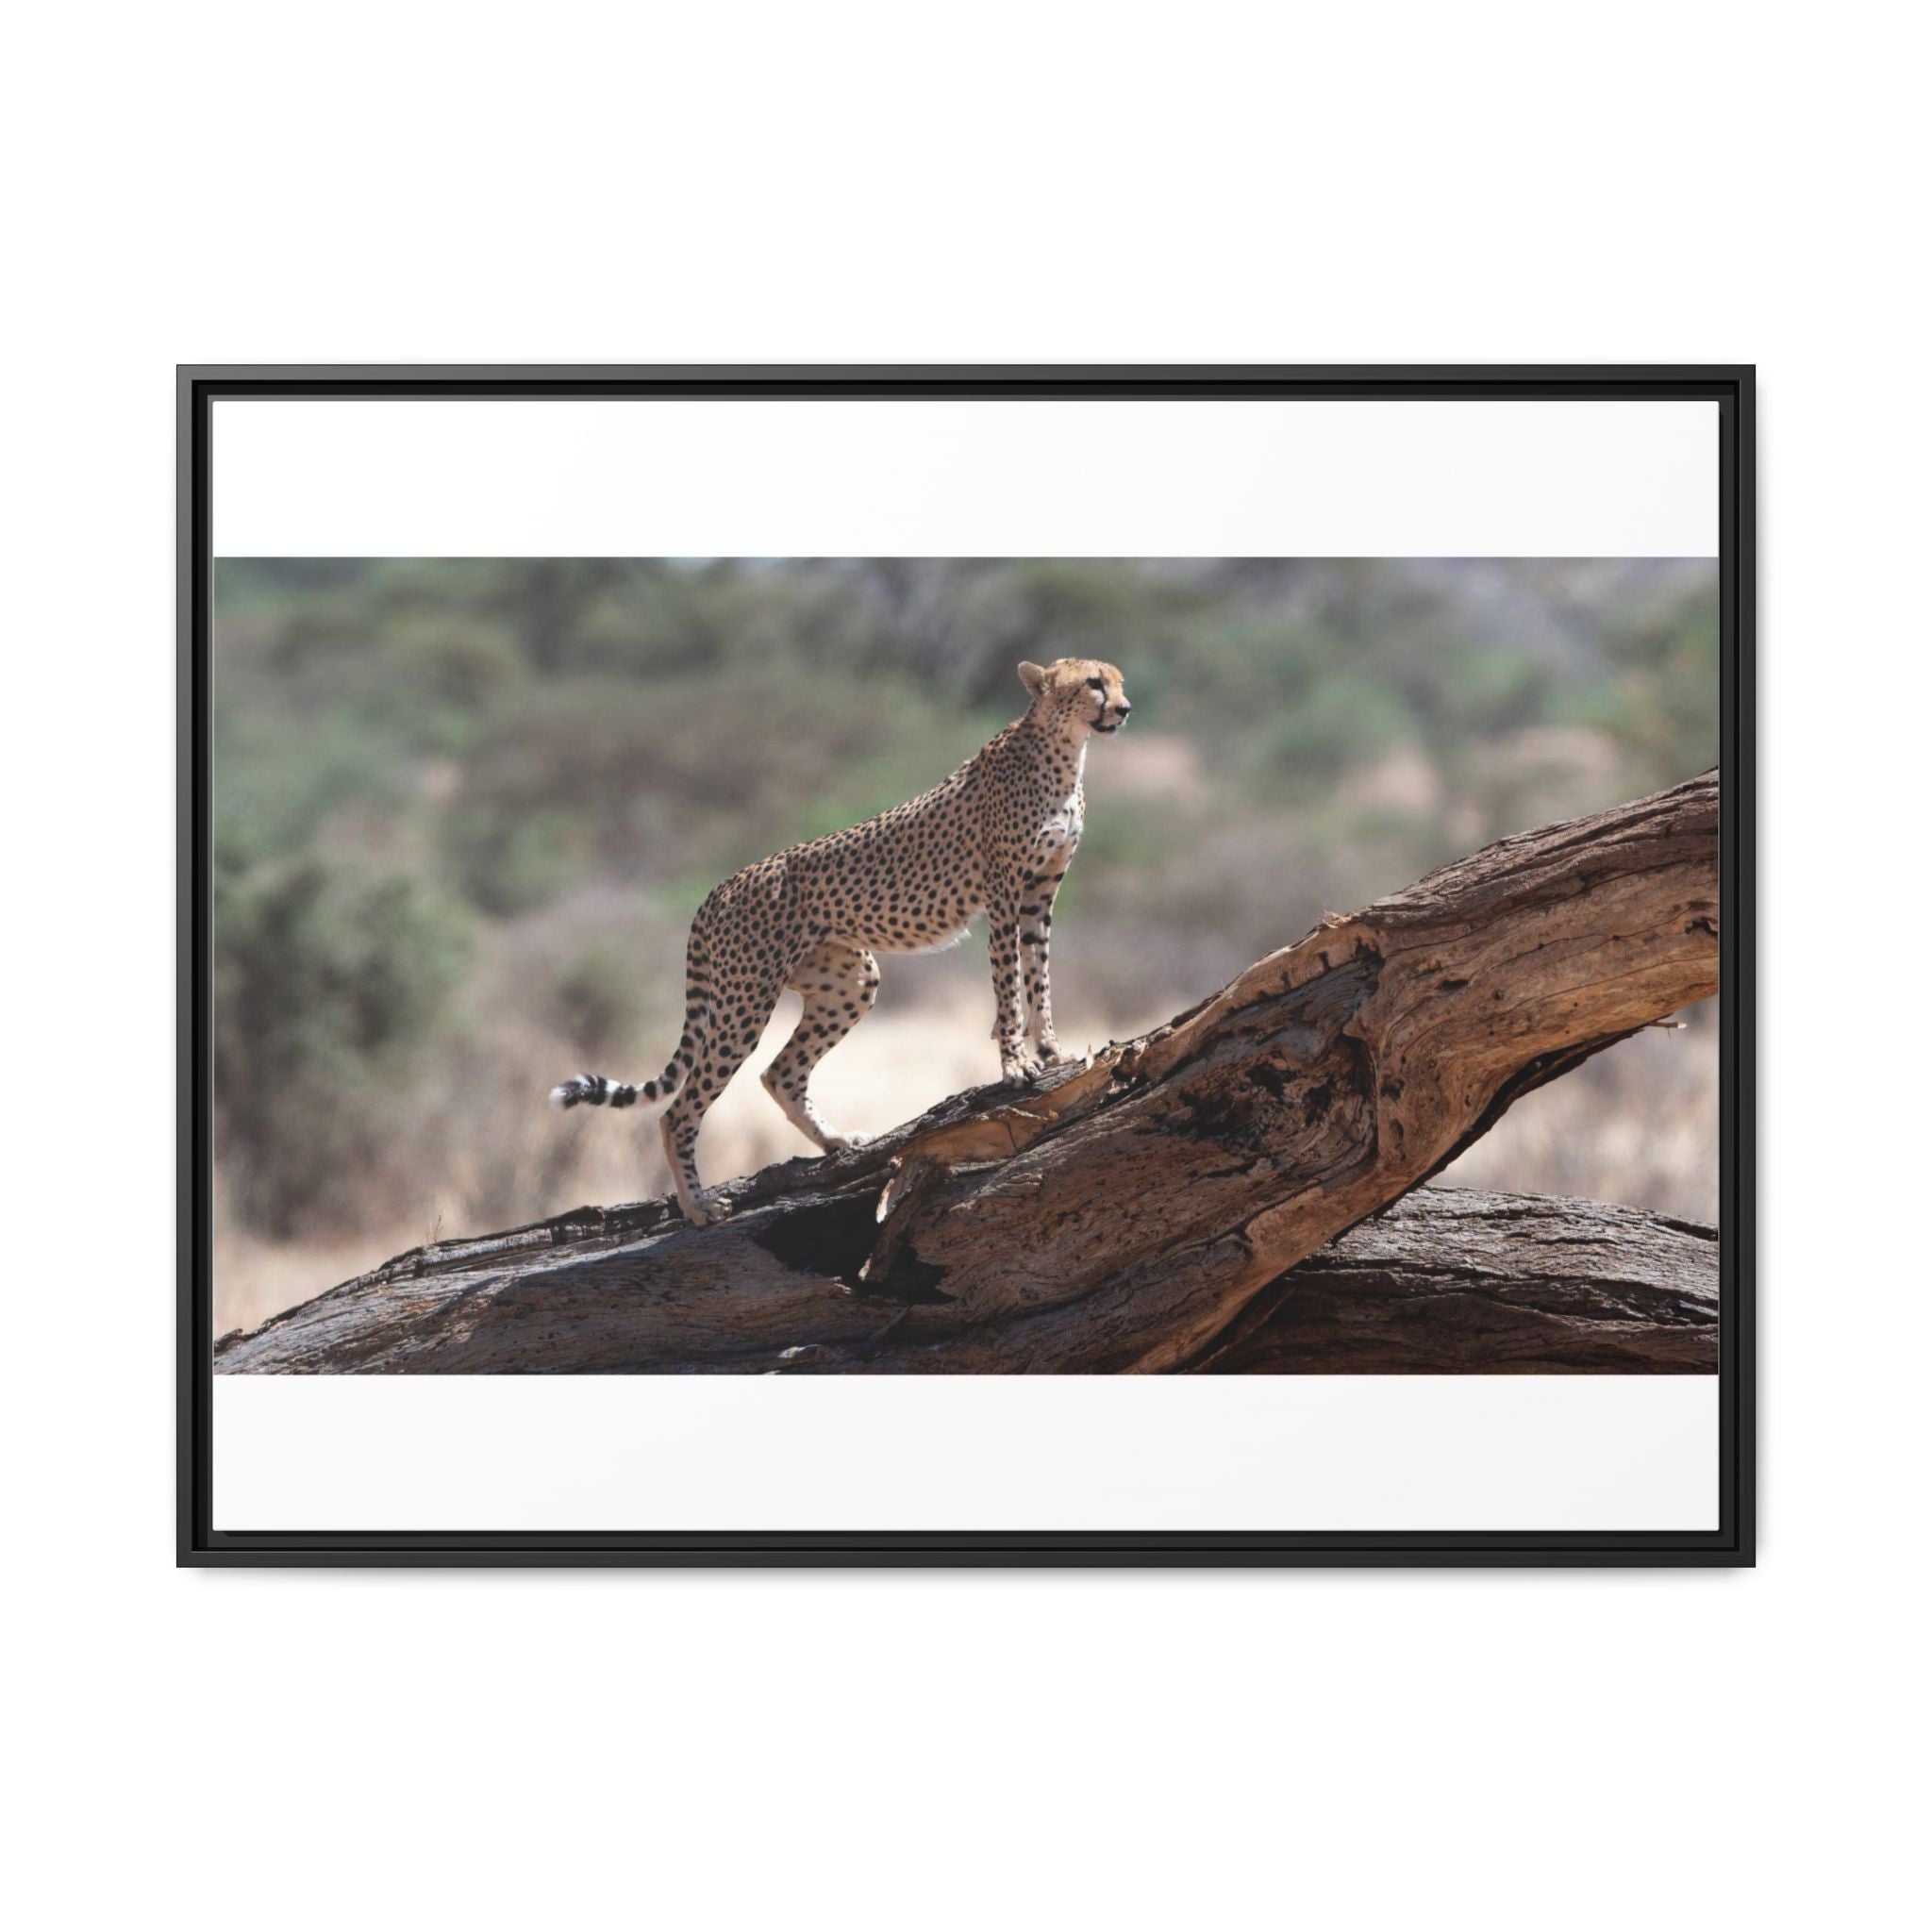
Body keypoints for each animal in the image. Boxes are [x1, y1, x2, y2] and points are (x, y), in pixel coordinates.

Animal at [548, 656, 1133, 1225]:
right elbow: (1009, 984)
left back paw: (835, 1142)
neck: (1064, 751)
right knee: (680, 1109)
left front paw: (1051, 1049)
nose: (1125, 709)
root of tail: (721, 886)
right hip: (745, 999)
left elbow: (1039, 975)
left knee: (780, 1073)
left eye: (1118, 681)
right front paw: (1015, 1065)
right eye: (1093, 684)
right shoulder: (1004, 894)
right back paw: (698, 1206)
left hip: (849, 980)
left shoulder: (1039, 895)